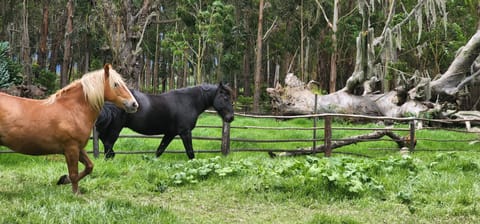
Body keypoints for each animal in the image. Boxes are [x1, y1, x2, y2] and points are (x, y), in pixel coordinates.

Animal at [0, 64, 138, 193]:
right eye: (116, 84)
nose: (134, 104)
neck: (72, 110)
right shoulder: (71, 148)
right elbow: (74, 174)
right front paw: (76, 193)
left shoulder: (78, 148)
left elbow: (89, 166)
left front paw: (63, 179)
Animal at [94, 82, 234, 159]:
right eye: (225, 98)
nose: (231, 118)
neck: (189, 102)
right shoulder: (185, 132)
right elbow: (190, 152)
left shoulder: (170, 133)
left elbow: (160, 150)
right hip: (115, 128)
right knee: (108, 145)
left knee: (104, 142)